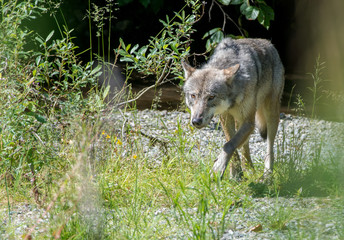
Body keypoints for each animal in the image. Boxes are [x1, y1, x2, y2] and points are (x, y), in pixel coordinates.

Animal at [183, 37, 284, 178]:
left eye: (211, 97)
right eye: (193, 96)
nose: (196, 121)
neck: (233, 100)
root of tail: (268, 43)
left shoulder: (249, 121)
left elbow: (229, 145)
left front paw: (219, 167)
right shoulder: (225, 117)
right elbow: (231, 142)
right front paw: (235, 174)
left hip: (271, 114)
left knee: (269, 147)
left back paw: (267, 173)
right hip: (240, 120)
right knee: (245, 145)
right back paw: (249, 169)